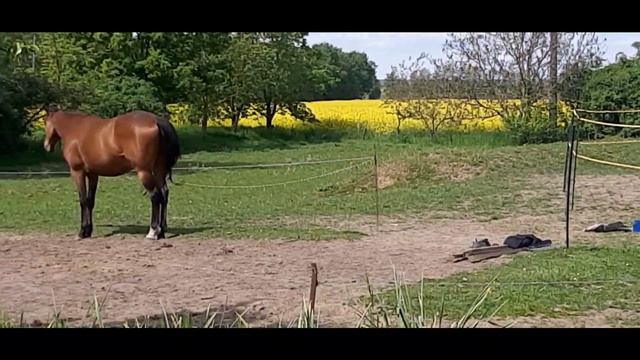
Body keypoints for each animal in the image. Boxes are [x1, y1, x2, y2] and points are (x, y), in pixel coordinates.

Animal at [41, 107, 180, 242]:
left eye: (45, 122)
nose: (46, 146)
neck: (75, 129)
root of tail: (156, 121)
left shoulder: (77, 172)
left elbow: (83, 201)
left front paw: (81, 232)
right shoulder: (93, 174)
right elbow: (90, 201)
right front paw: (88, 231)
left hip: (144, 171)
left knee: (155, 196)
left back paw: (152, 232)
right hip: (158, 170)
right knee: (164, 193)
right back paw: (161, 231)